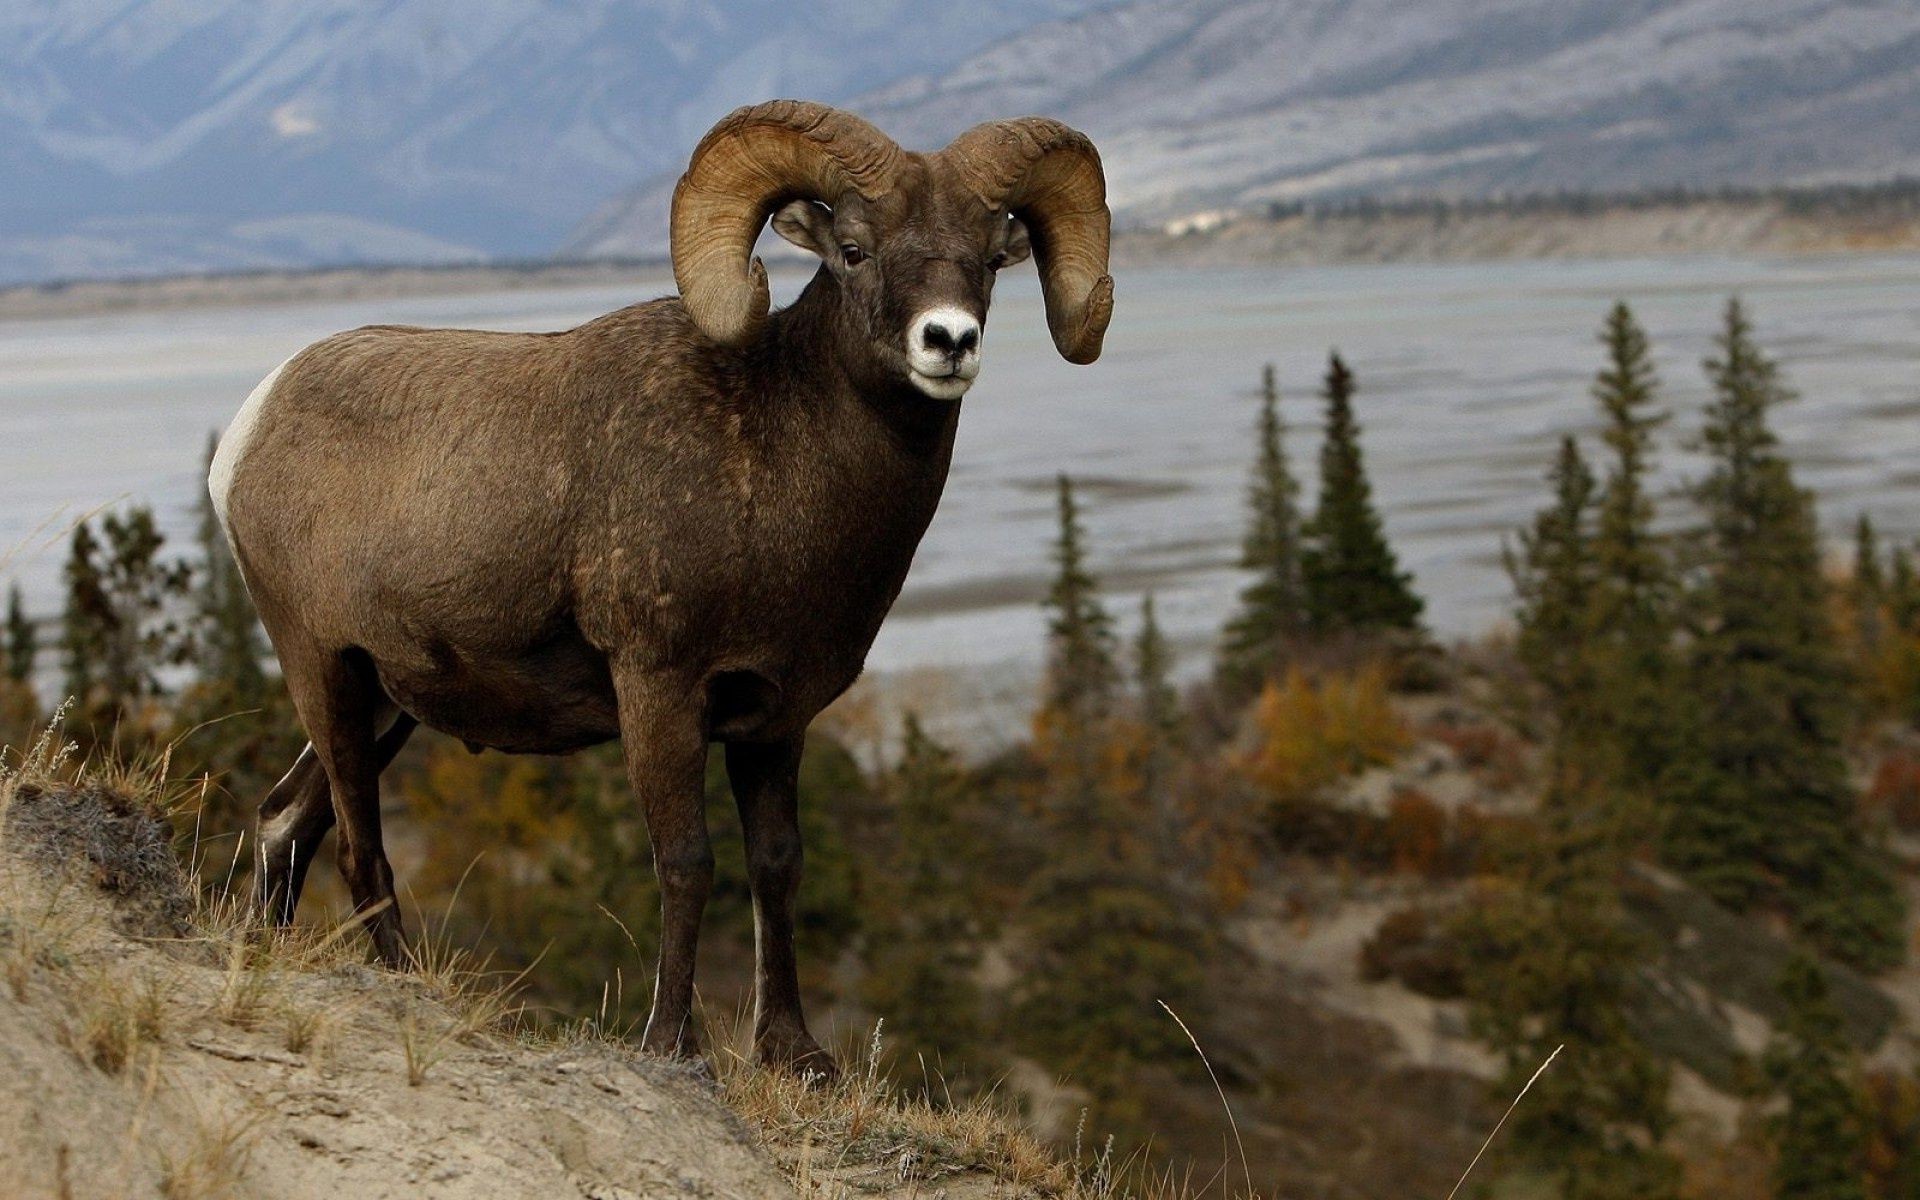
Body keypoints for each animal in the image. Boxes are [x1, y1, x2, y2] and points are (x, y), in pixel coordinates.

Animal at [208, 102, 1113, 1075]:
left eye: (988, 258)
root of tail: (248, 432)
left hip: (386, 705)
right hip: (324, 671)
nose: (948, 342)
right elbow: (688, 863)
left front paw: (794, 1053)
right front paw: (672, 1044)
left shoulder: (775, 721)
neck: (773, 459)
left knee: (285, 822)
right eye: (855, 249)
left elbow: (777, 866)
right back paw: (412, 990)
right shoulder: (659, 692)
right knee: (359, 850)